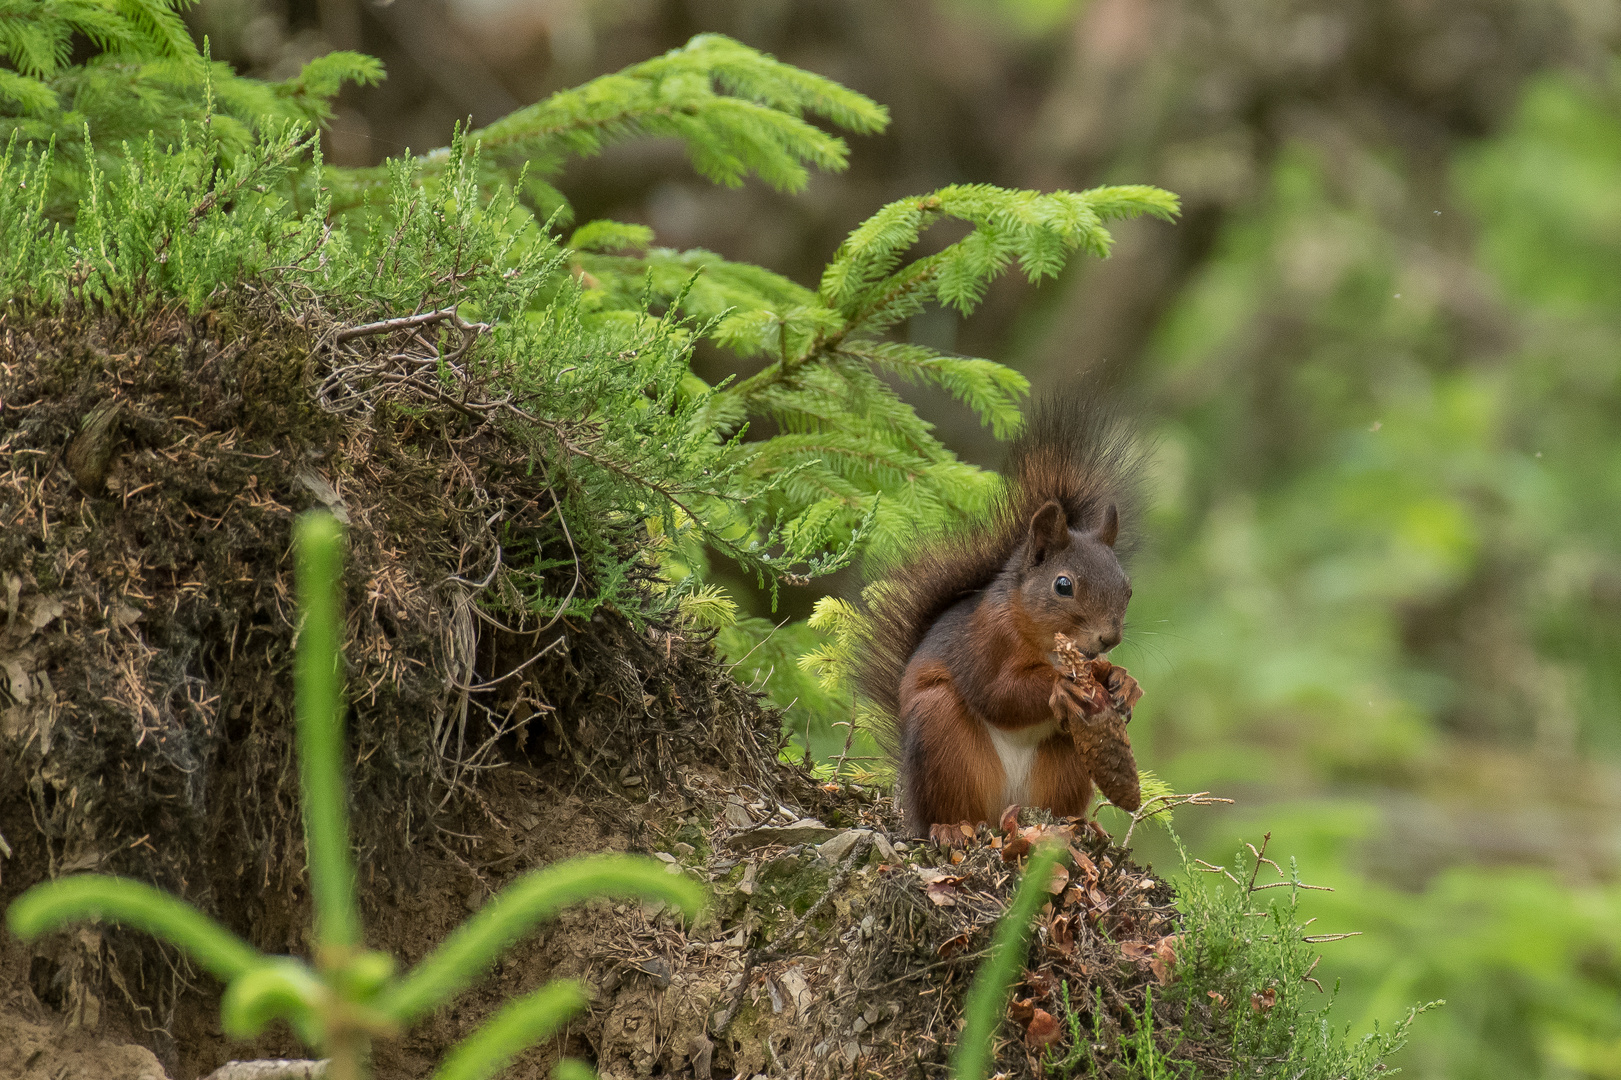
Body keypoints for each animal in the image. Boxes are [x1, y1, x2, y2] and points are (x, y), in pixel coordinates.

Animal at [855, 390, 1147, 836]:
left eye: (1128, 588)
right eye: (1063, 585)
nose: (1109, 638)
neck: (1044, 644)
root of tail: (1005, 814)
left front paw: (1123, 681)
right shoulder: (985, 639)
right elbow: (997, 693)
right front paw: (1061, 686)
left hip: (1062, 766)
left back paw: (1077, 825)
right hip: (941, 736)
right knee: (951, 805)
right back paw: (951, 828)